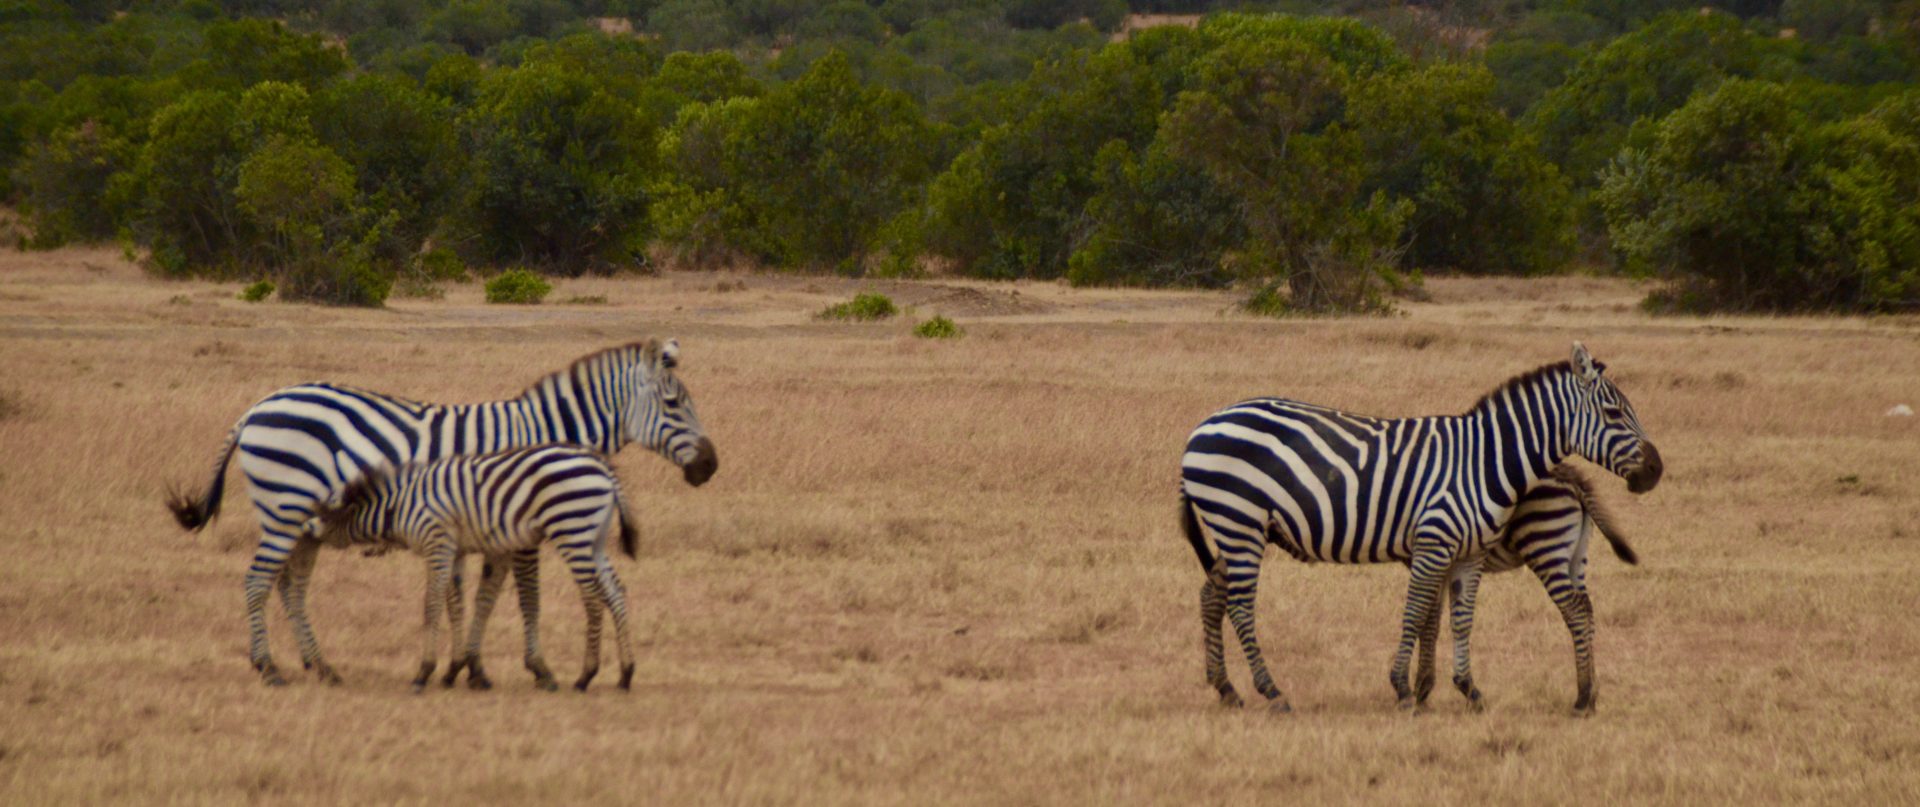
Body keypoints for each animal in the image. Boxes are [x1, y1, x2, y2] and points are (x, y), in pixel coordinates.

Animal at [303, 443, 641, 691]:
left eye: (322, 511)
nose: (305, 529)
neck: (398, 507)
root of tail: (601, 466)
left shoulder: (437, 543)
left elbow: (431, 604)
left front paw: (424, 672)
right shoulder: (455, 550)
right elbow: (456, 605)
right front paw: (454, 669)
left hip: (571, 529)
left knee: (592, 599)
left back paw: (586, 675)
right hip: (594, 538)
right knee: (616, 592)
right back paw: (625, 673)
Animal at [1175, 340, 1658, 710]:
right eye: (1614, 412)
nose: (1656, 470)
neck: (1483, 462)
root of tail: (1203, 425)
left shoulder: (1467, 554)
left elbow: (1458, 620)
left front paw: (1467, 690)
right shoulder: (1433, 545)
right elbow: (1416, 615)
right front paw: (1406, 690)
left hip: (1237, 528)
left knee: (1212, 595)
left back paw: (1227, 689)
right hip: (1239, 521)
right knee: (1240, 605)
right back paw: (1272, 692)